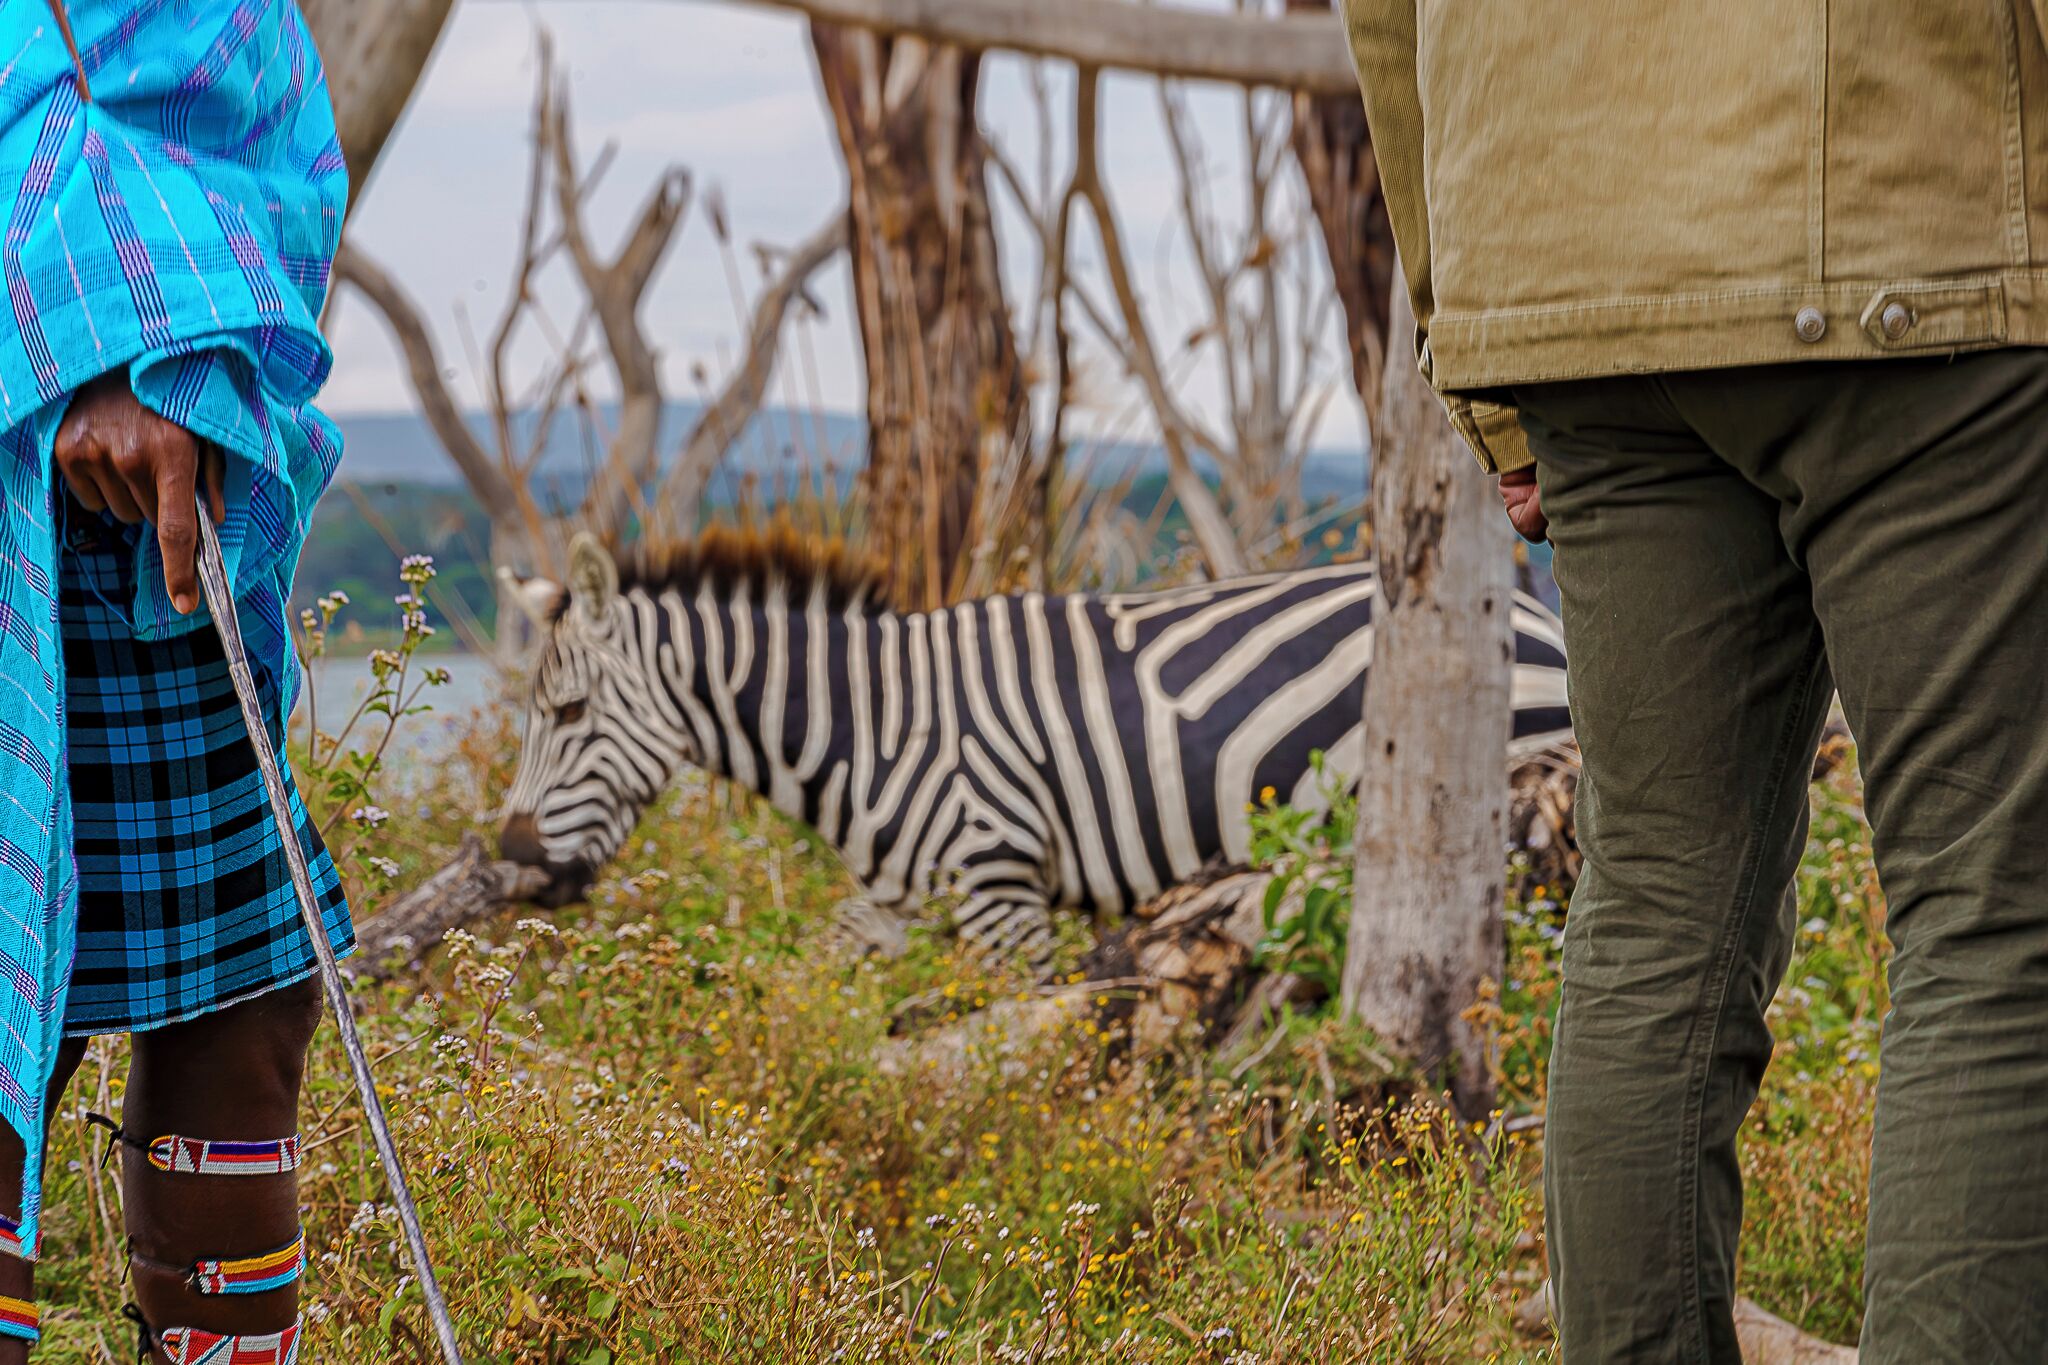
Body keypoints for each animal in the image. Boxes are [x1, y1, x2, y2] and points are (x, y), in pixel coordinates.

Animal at [496, 529, 1573, 968]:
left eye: (569, 712)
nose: (508, 856)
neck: (872, 730)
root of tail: (1532, 611)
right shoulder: (894, 901)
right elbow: (803, 994)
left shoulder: (999, 887)